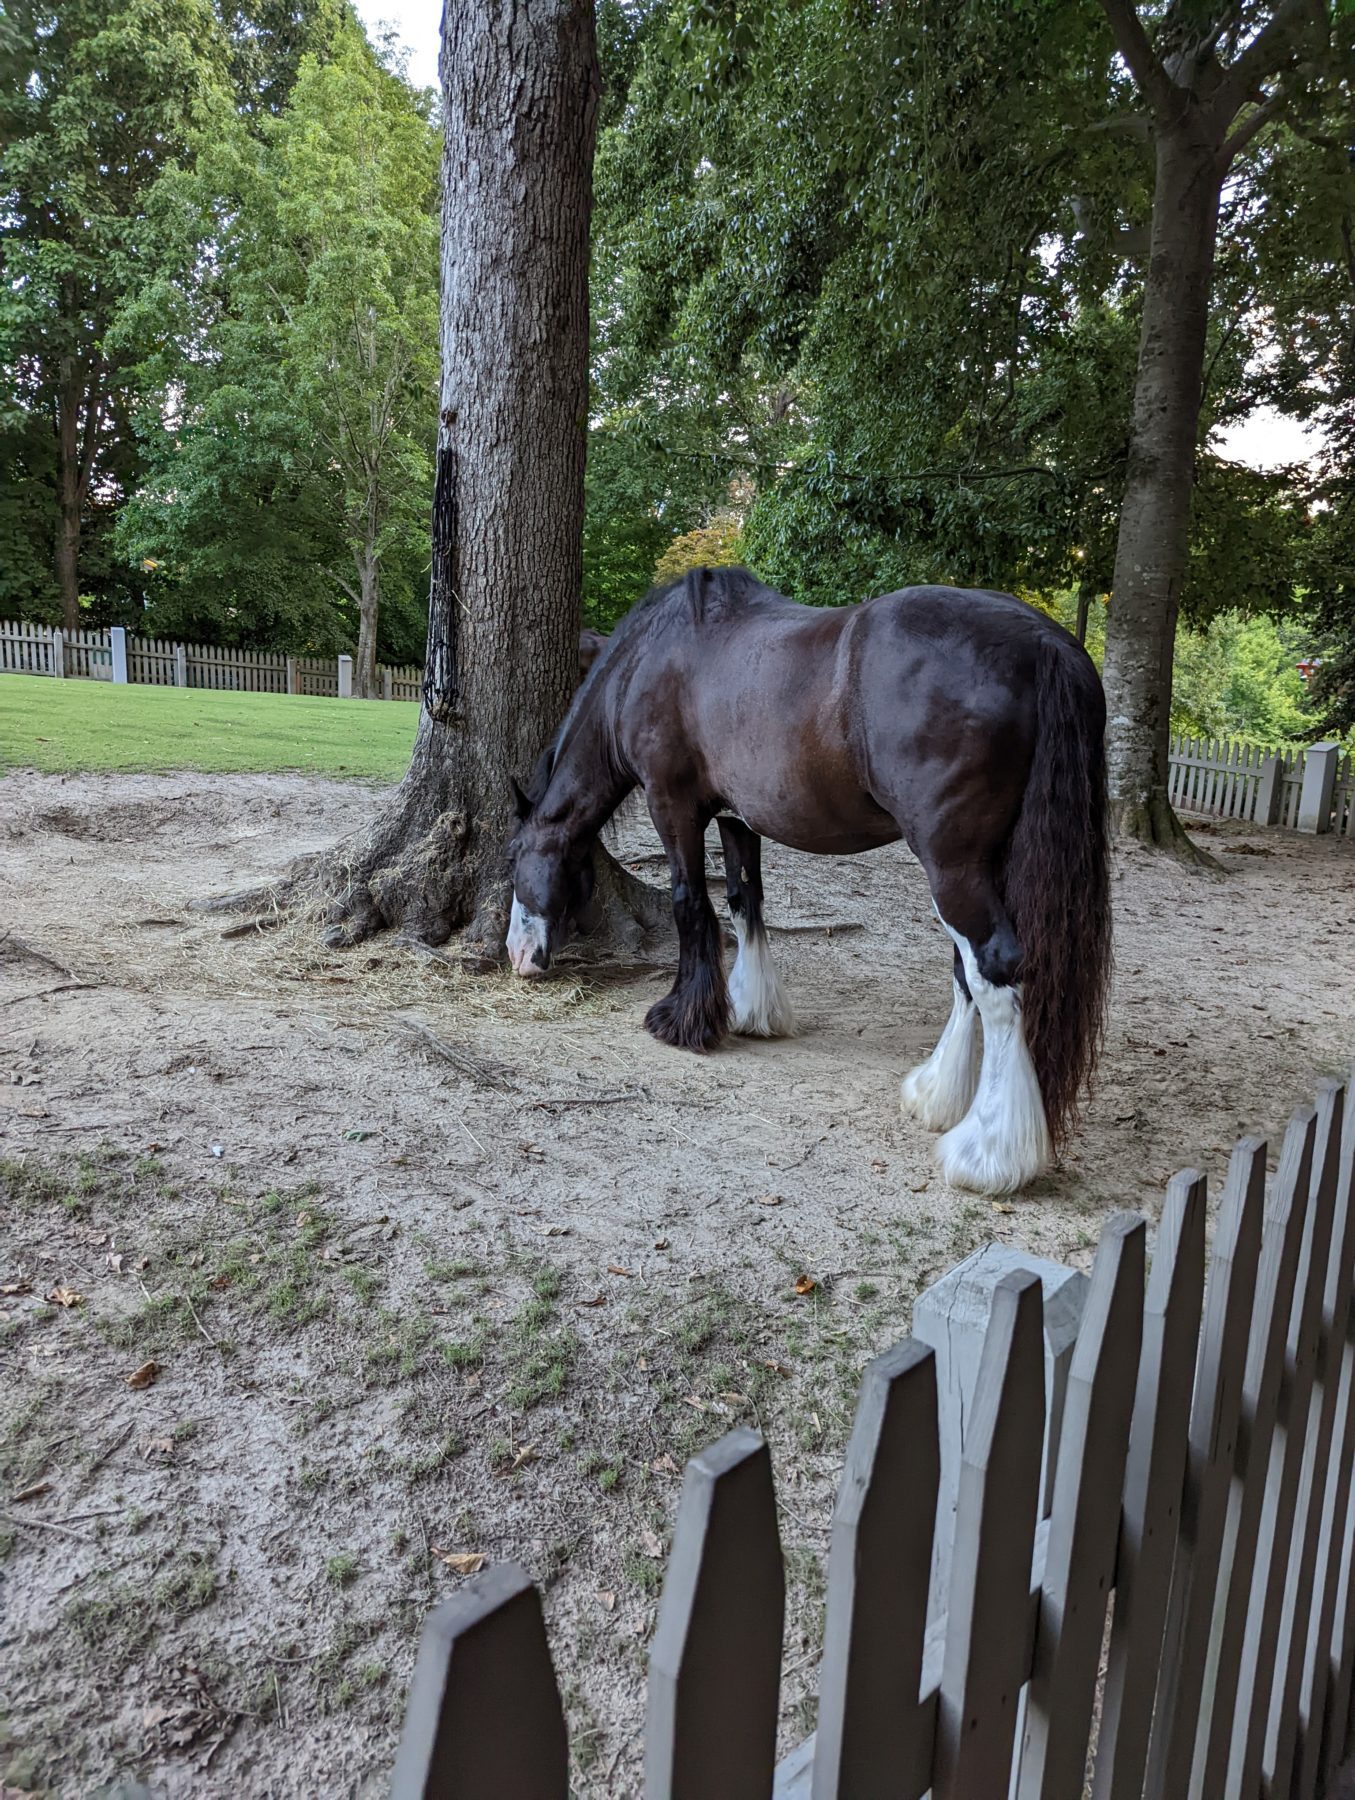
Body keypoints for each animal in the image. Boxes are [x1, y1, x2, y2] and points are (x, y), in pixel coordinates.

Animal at [507, 568, 1108, 1195]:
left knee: (993, 971)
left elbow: (691, 904)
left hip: (951, 862)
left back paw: (988, 1154)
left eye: (511, 856)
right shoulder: (736, 817)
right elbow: (744, 902)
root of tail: (1042, 641)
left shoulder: (673, 808)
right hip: (981, 863)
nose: (518, 956)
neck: (653, 658)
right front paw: (751, 1011)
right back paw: (937, 1095)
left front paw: (682, 1020)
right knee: (966, 972)